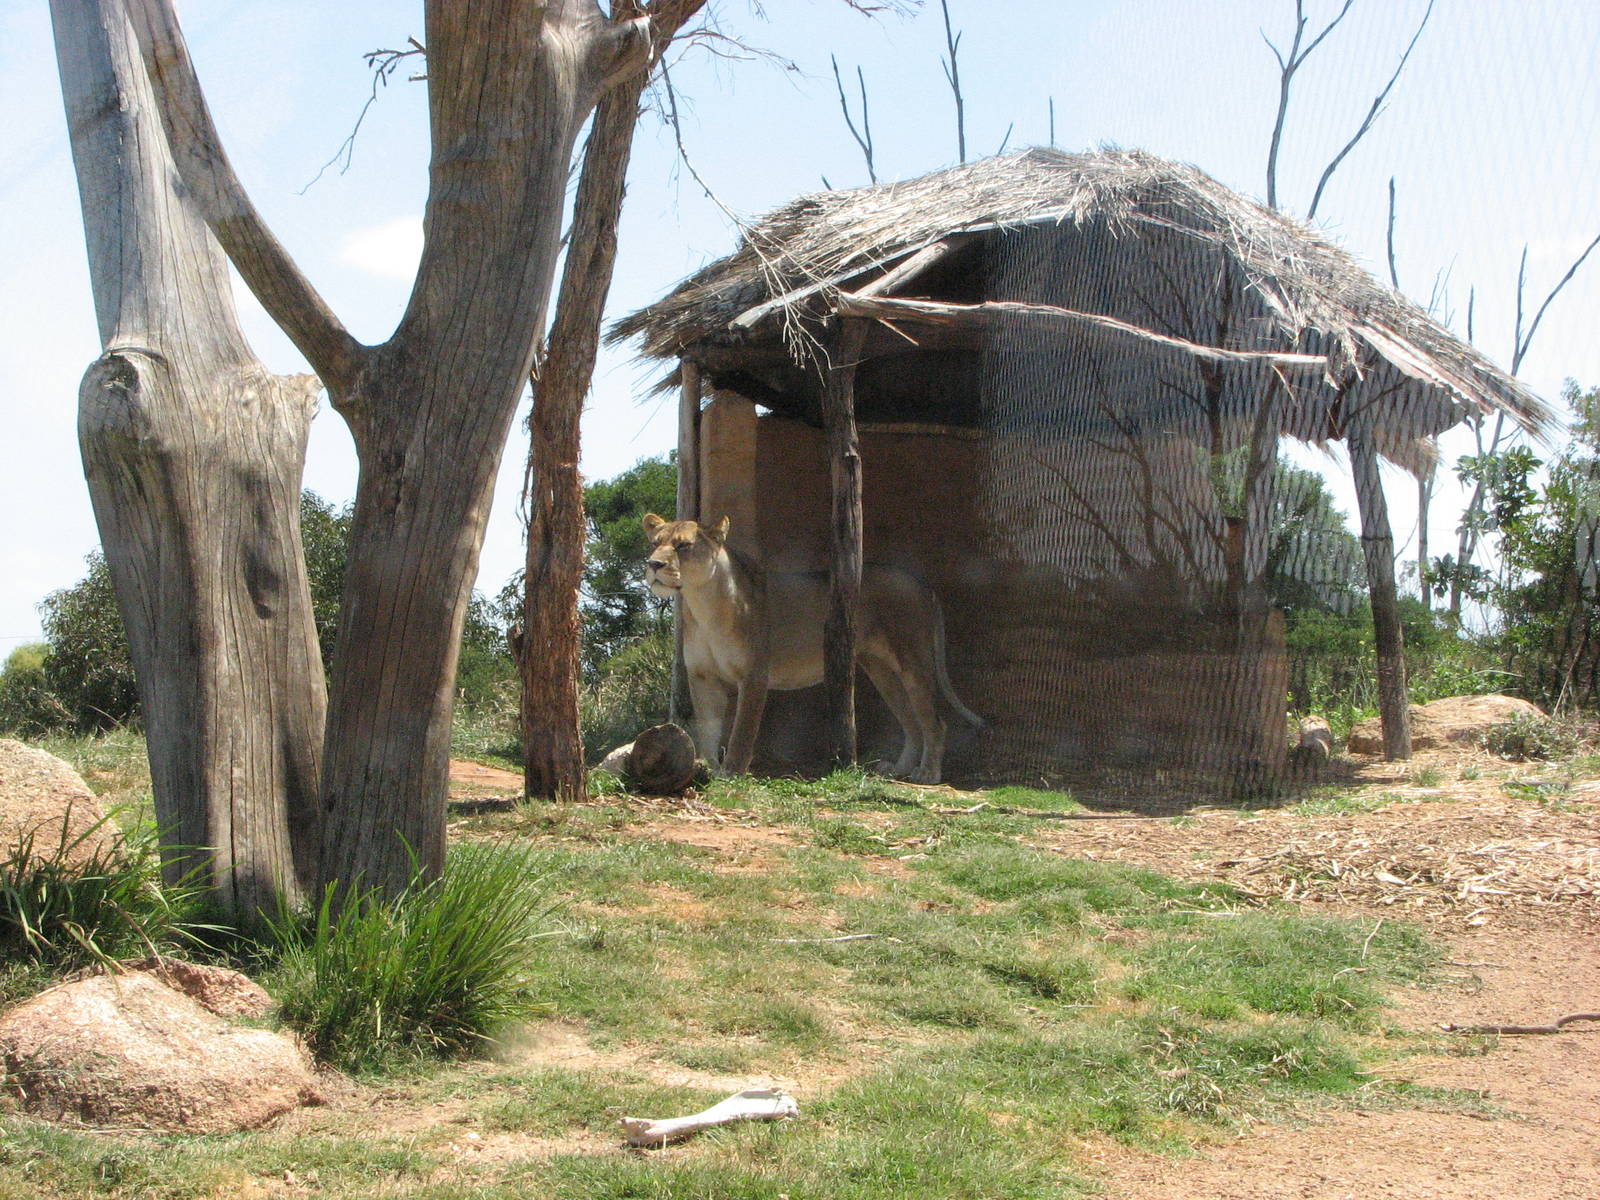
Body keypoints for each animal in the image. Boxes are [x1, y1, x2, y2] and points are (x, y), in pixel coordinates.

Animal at [643, 513, 983, 783]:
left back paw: (928, 774)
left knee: (934, 722)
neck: (703, 604)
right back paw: (898, 769)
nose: (653, 564)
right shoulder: (702, 677)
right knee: (911, 723)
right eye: (655, 543)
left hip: (914, 662)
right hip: (881, 671)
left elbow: (742, 732)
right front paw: (708, 767)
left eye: (683, 546)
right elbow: (708, 728)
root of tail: (921, 583)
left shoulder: (753, 675)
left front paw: (731, 773)